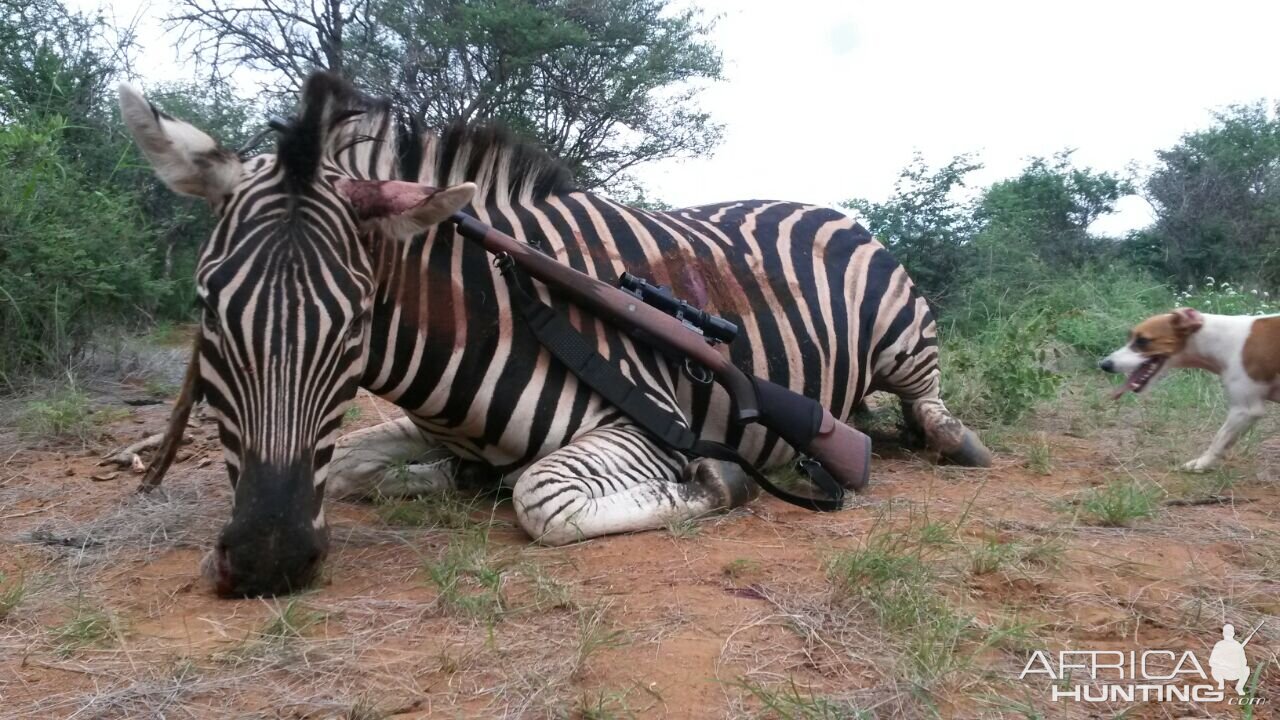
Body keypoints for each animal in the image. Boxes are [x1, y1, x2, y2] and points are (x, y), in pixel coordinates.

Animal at [117, 73, 988, 594]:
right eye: (207, 305)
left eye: (358, 319)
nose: (267, 559)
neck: (488, 308)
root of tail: (823, 206)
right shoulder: (418, 431)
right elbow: (363, 464)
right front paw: (443, 480)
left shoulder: (648, 429)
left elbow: (540, 497)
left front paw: (721, 480)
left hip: (904, 333)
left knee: (930, 399)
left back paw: (949, 440)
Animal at [1095, 307, 1274, 471]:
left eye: (1142, 340)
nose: (1104, 364)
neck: (1218, 338)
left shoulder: (1245, 410)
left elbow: (1219, 439)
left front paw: (1201, 463)